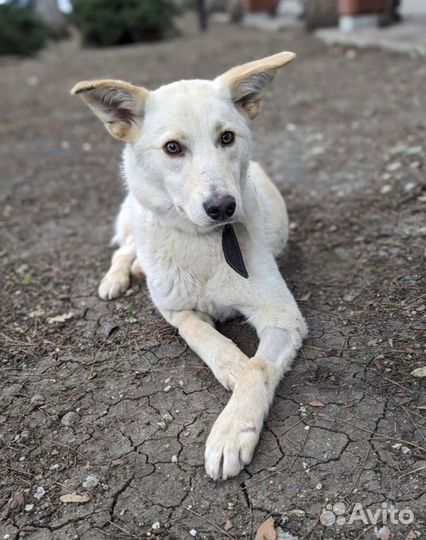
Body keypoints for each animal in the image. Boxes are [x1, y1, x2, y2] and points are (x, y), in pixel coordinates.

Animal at [72, 51, 306, 480]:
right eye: (172, 148)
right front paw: (231, 364)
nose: (223, 207)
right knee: (122, 250)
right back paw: (117, 278)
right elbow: (199, 333)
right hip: (133, 223)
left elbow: (258, 369)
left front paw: (232, 431)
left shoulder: (282, 316)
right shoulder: (176, 311)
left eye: (227, 137)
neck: (202, 242)